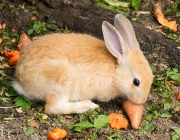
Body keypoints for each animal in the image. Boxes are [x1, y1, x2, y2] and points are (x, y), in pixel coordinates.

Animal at [12, 14, 153, 114]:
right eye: (136, 82)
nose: (142, 100)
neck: (116, 71)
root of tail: (22, 83)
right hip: (59, 83)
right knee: (52, 108)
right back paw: (86, 106)